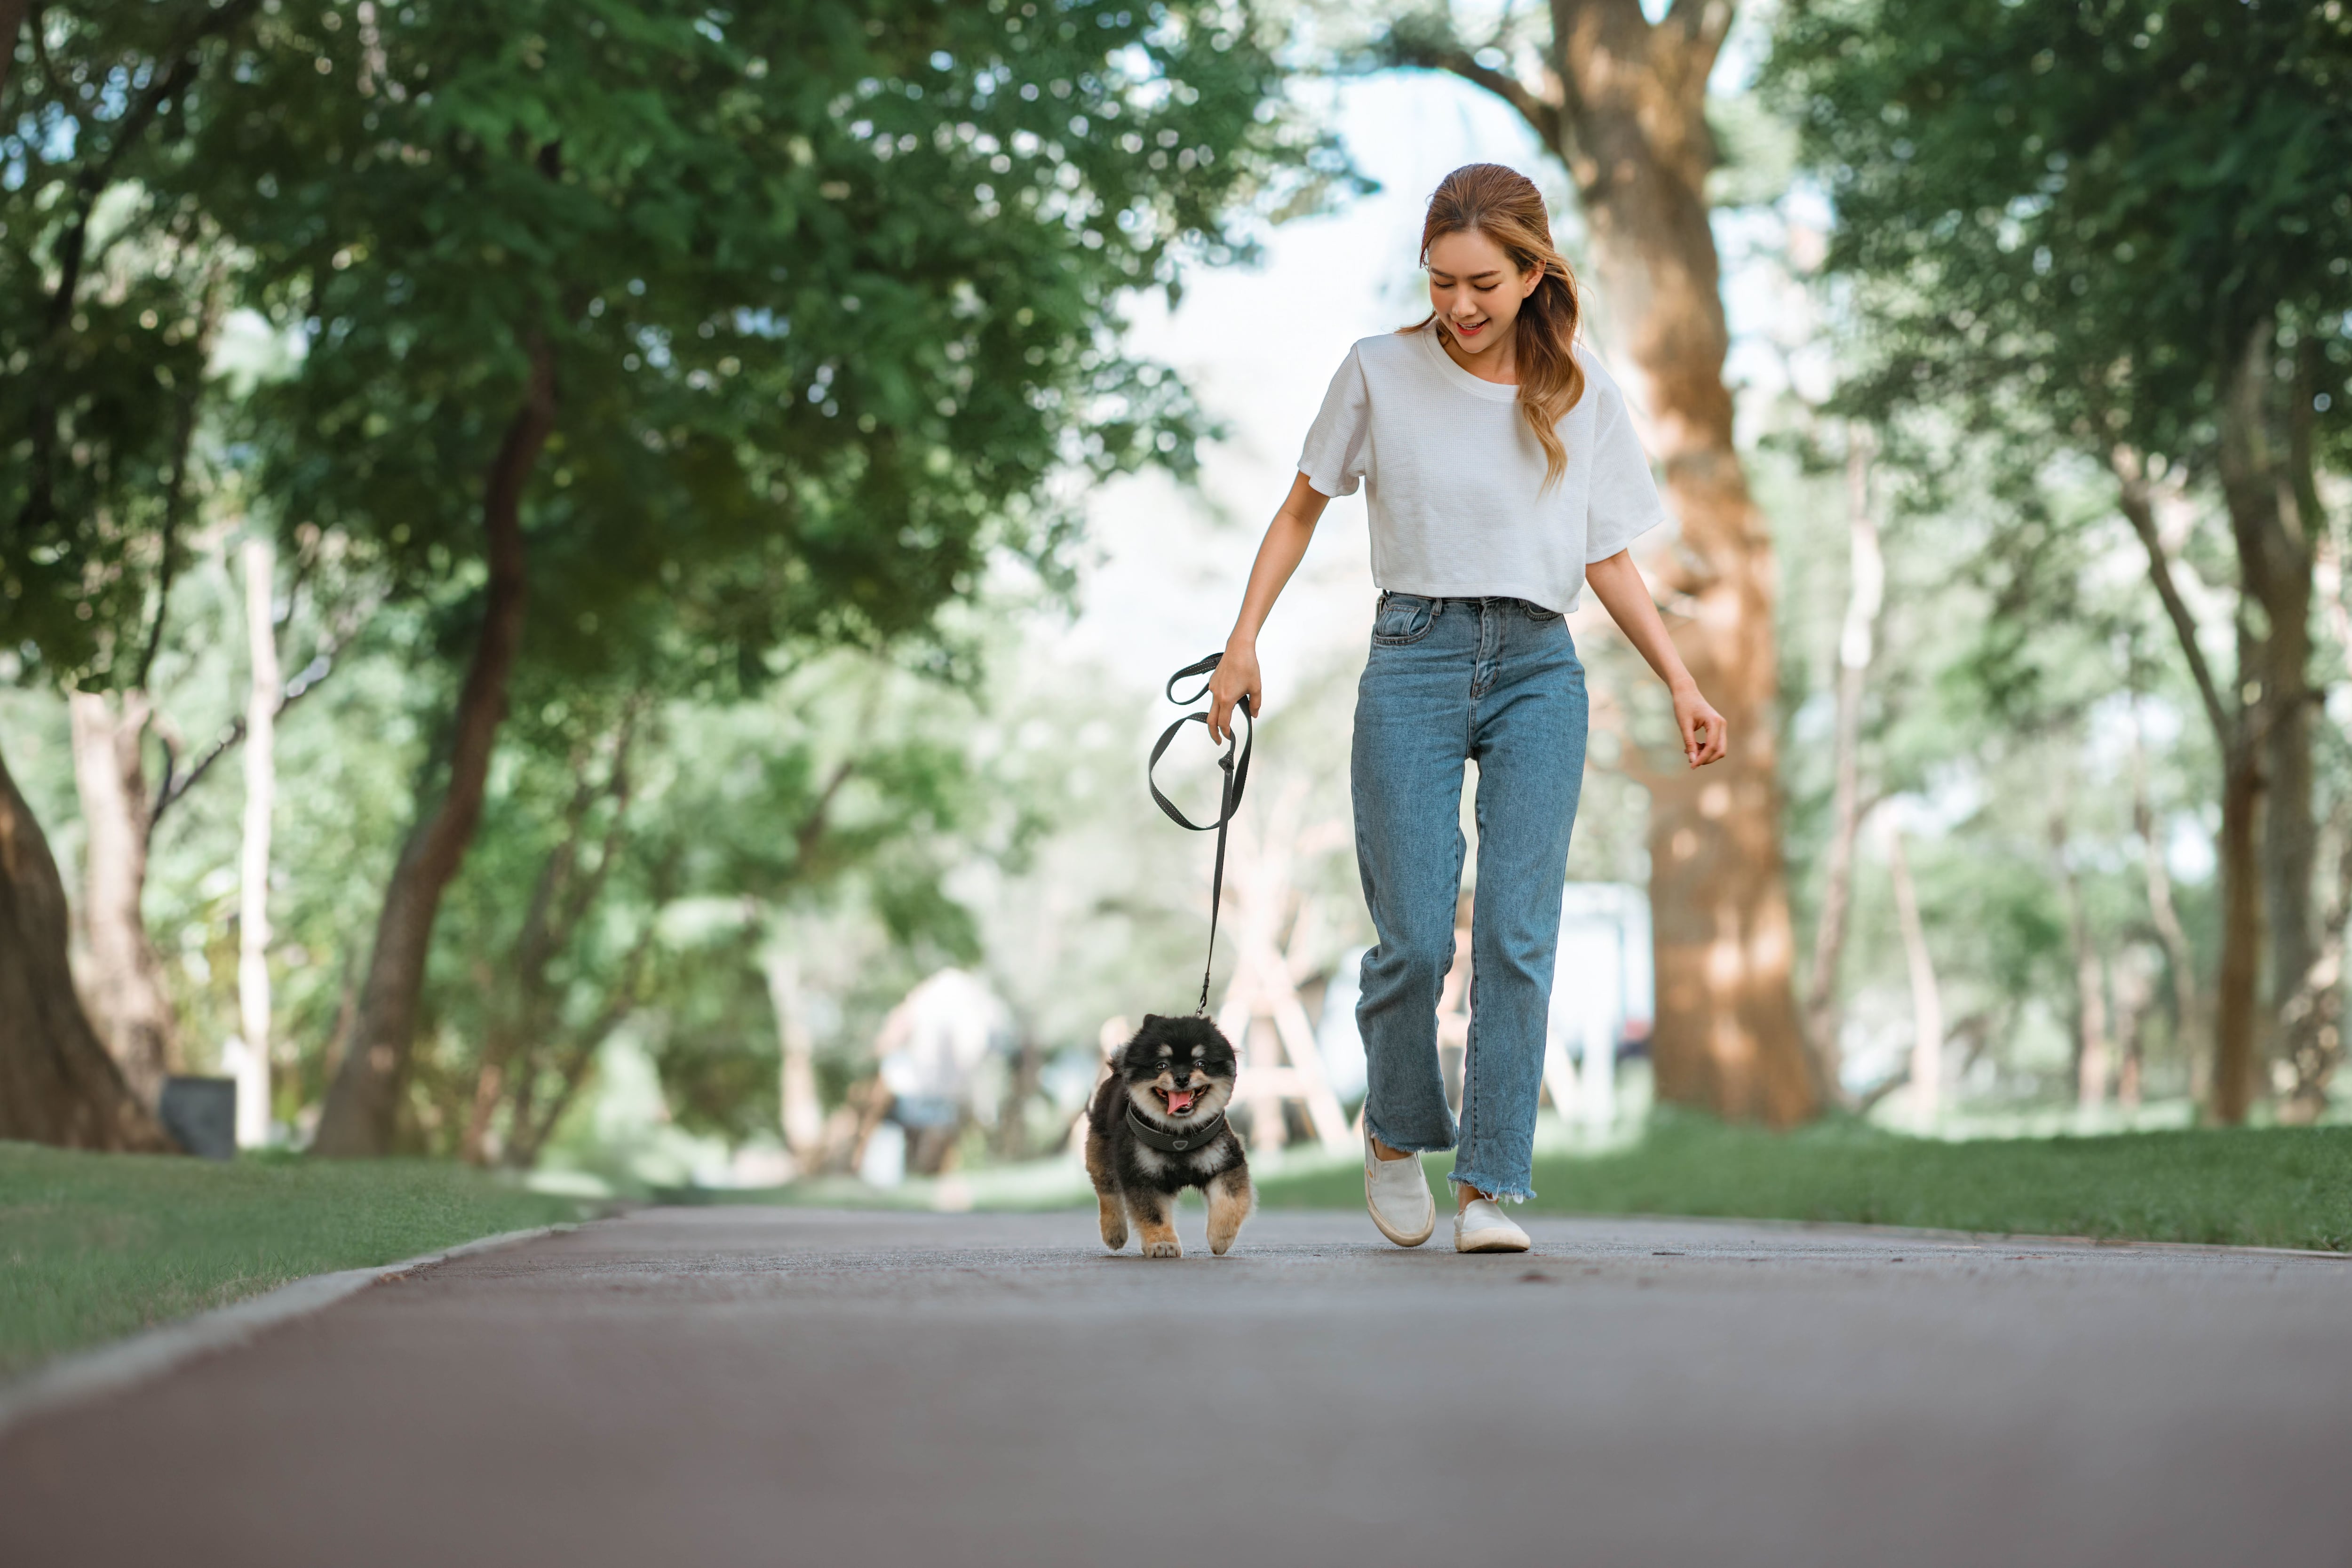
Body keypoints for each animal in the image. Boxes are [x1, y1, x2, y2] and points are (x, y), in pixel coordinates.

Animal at [1091, 1020, 1261, 1260]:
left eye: (1201, 1063)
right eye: (1161, 1066)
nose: (1182, 1078)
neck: (1179, 1134)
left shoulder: (1226, 1163)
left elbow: (1231, 1201)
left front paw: (1221, 1237)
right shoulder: (1142, 1174)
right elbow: (1153, 1215)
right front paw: (1162, 1244)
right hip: (1102, 1153)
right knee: (1108, 1192)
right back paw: (1114, 1232)